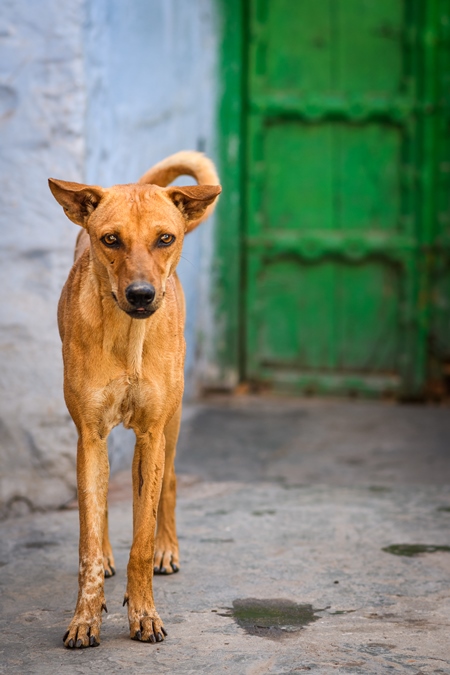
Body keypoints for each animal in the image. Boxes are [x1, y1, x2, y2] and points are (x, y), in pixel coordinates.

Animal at [49, 151, 221, 648]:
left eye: (165, 239)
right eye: (111, 239)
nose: (141, 295)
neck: (129, 338)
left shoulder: (150, 433)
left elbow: (141, 538)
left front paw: (143, 611)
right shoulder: (89, 433)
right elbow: (88, 537)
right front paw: (85, 617)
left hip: (172, 425)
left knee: (170, 484)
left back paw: (167, 549)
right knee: (105, 498)